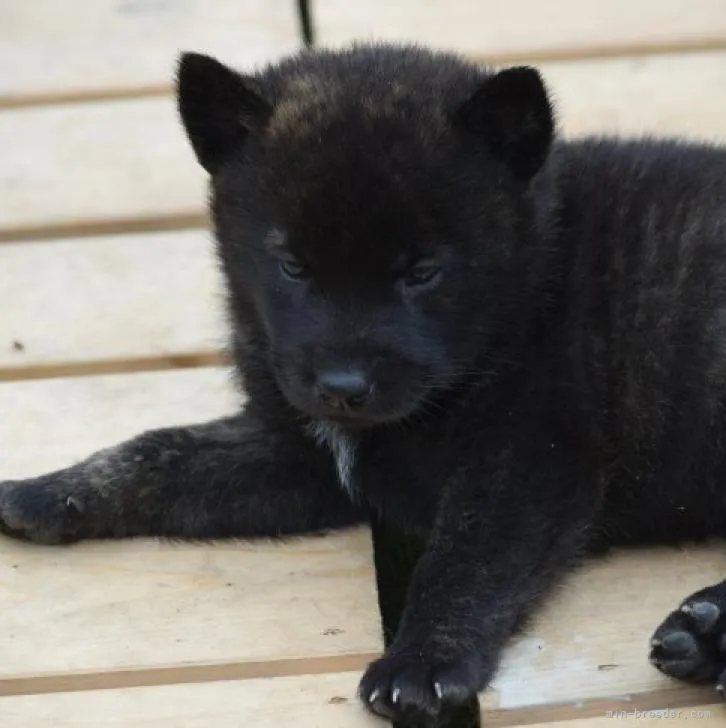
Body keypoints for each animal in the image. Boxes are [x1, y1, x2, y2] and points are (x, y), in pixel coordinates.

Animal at [4, 45, 726, 724]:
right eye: (292, 265)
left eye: (423, 272)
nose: (342, 387)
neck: (529, 289)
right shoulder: (299, 455)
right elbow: (157, 453)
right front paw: (49, 490)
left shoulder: (531, 462)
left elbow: (465, 561)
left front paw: (421, 662)